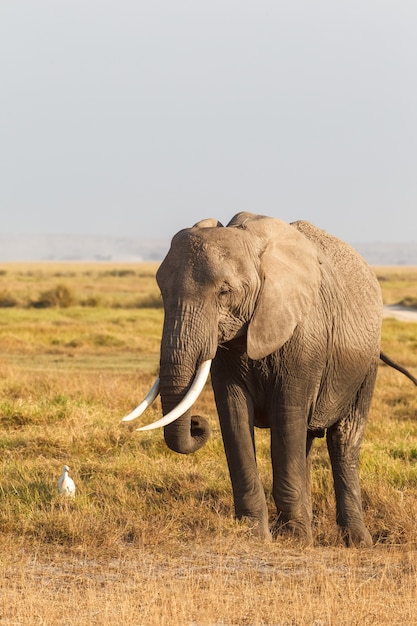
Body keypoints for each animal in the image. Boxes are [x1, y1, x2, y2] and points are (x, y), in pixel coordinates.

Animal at [123, 212, 416, 544]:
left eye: (224, 292)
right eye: (162, 292)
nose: (197, 423)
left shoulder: (305, 337)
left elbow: (286, 414)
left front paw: (293, 538)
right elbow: (234, 415)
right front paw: (253, 533)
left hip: (365, 365)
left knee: (342, 441)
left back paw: (355, 541)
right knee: (305, 440)